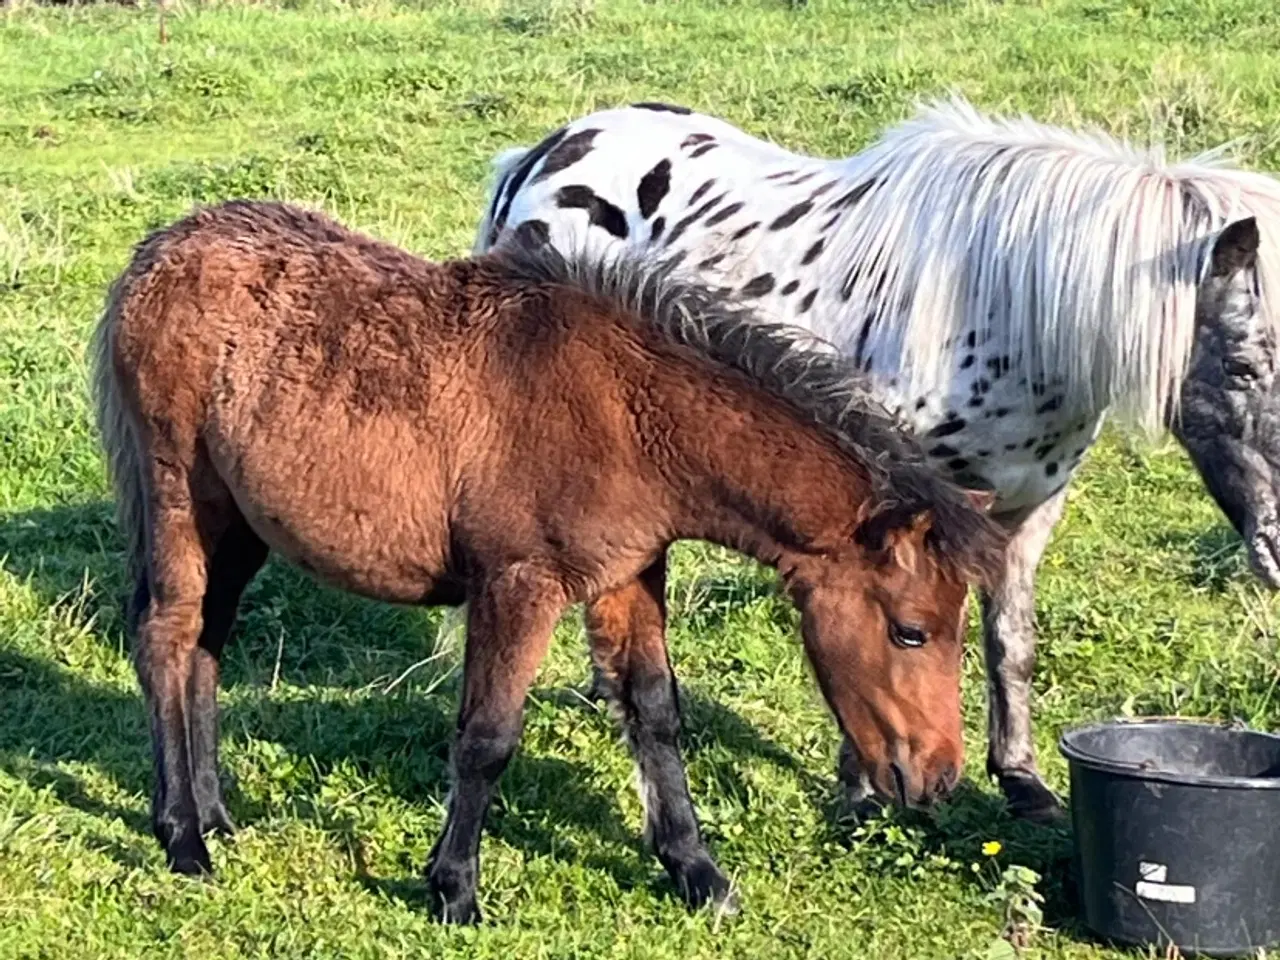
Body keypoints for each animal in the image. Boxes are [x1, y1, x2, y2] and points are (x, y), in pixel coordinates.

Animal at [92, 200, 1008, 926]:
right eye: (912, 631)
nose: (936, 779)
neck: (624, 412)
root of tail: (156, 253)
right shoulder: (518, 584)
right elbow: (487, 736)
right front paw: (454, 889)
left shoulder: (630, 576)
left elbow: (655, 713)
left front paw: (697, 872)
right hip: (181, 498)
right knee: (166, 638)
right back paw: (182, 839)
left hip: (239, 525)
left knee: (207, 645)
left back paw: (217, 813)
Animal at [476, 94, 1280, 824]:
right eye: (1243, 366)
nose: (1277, 554)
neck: (1004, 317)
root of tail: (543, 153)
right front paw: (860, 791)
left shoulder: (1025, 516)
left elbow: (1010, 643)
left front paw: (1023, 783)